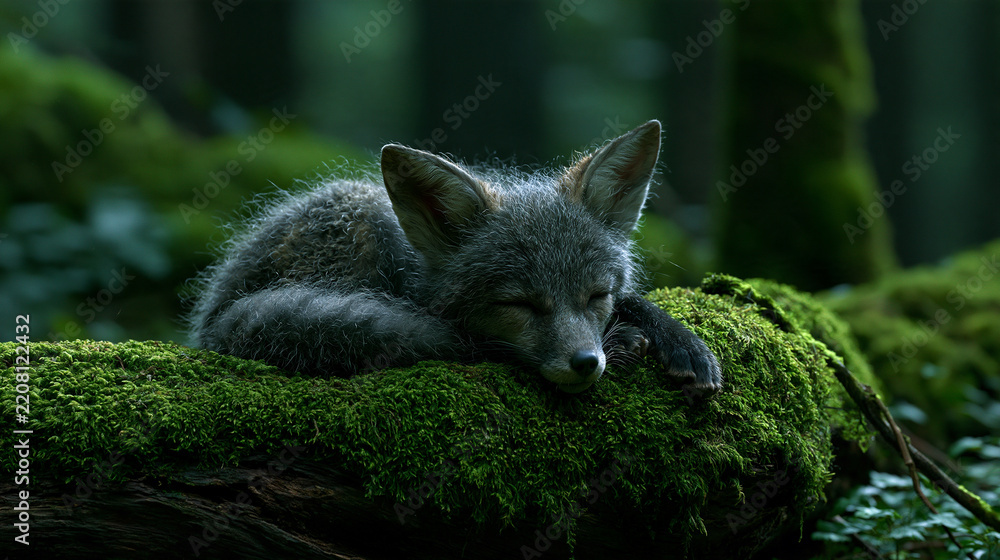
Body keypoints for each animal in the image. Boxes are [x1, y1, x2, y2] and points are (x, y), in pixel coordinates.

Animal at [187, 120, 722, 394]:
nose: (587, 363)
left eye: (595, 296)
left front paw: (678, 338)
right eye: (519, 304)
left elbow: (636, 300)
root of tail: (213, 319)